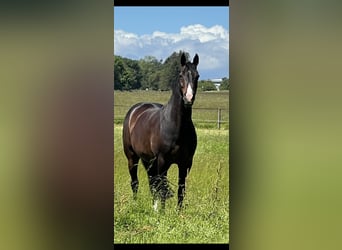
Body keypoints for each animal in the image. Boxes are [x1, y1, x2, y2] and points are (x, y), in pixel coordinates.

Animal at [122, 53, 199, 211]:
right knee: (135, 182)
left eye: (197, 76)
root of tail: (135, 111)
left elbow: (180, 190)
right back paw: (136, 204)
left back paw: (154, 207)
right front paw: (162, 213)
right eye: (181, 75)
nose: (188, 98)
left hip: (149, 160)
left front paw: (178, 212)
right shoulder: (163, 161)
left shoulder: (185, 163)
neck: (177, 127)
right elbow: (163, 188)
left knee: (152, 183)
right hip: (132, 157)